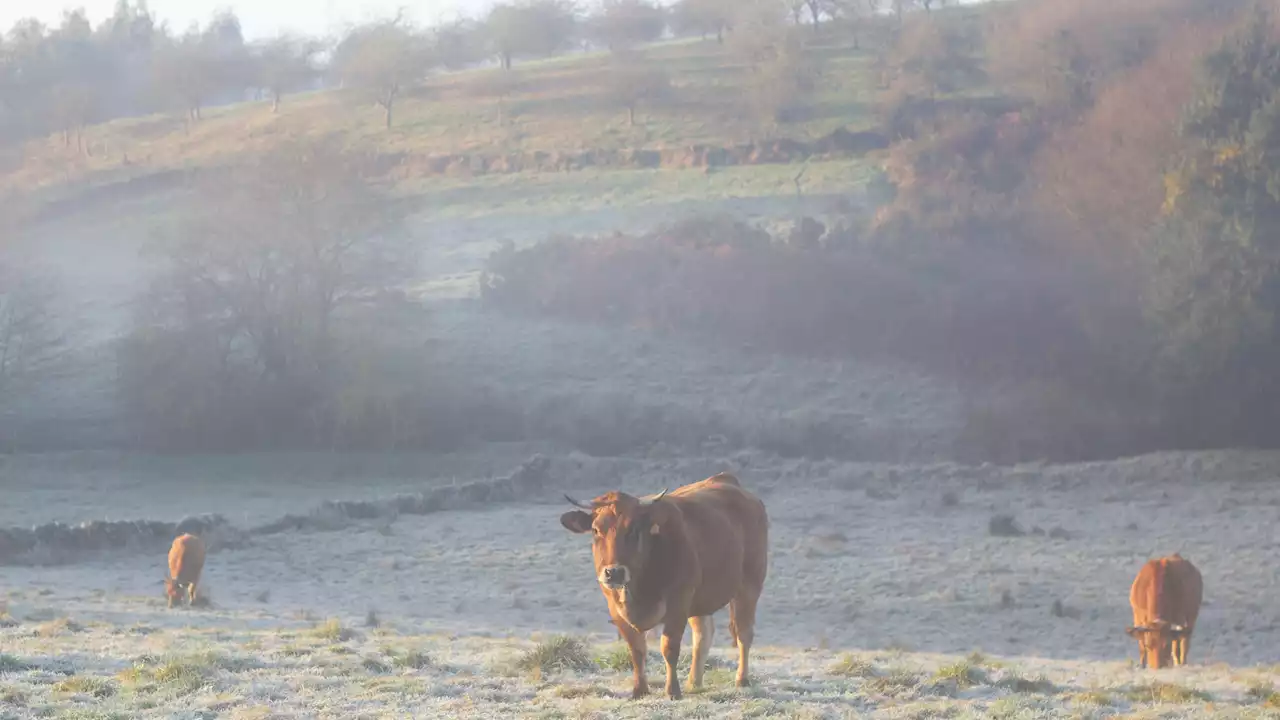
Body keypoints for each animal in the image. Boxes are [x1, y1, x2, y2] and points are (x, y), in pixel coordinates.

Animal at [563, 471, 768, 696]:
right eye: (595, 530)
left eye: (633, 530)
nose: (613, 572)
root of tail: (726, 479)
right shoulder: (616, 610)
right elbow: (636, 649)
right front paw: (640, 690)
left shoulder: (678, 604)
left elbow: (669, 648)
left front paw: (672, 691)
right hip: (701, 599)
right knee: (703, 635)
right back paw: (694, 683)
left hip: (749, 585)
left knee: (743, 633)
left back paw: (742, 679)